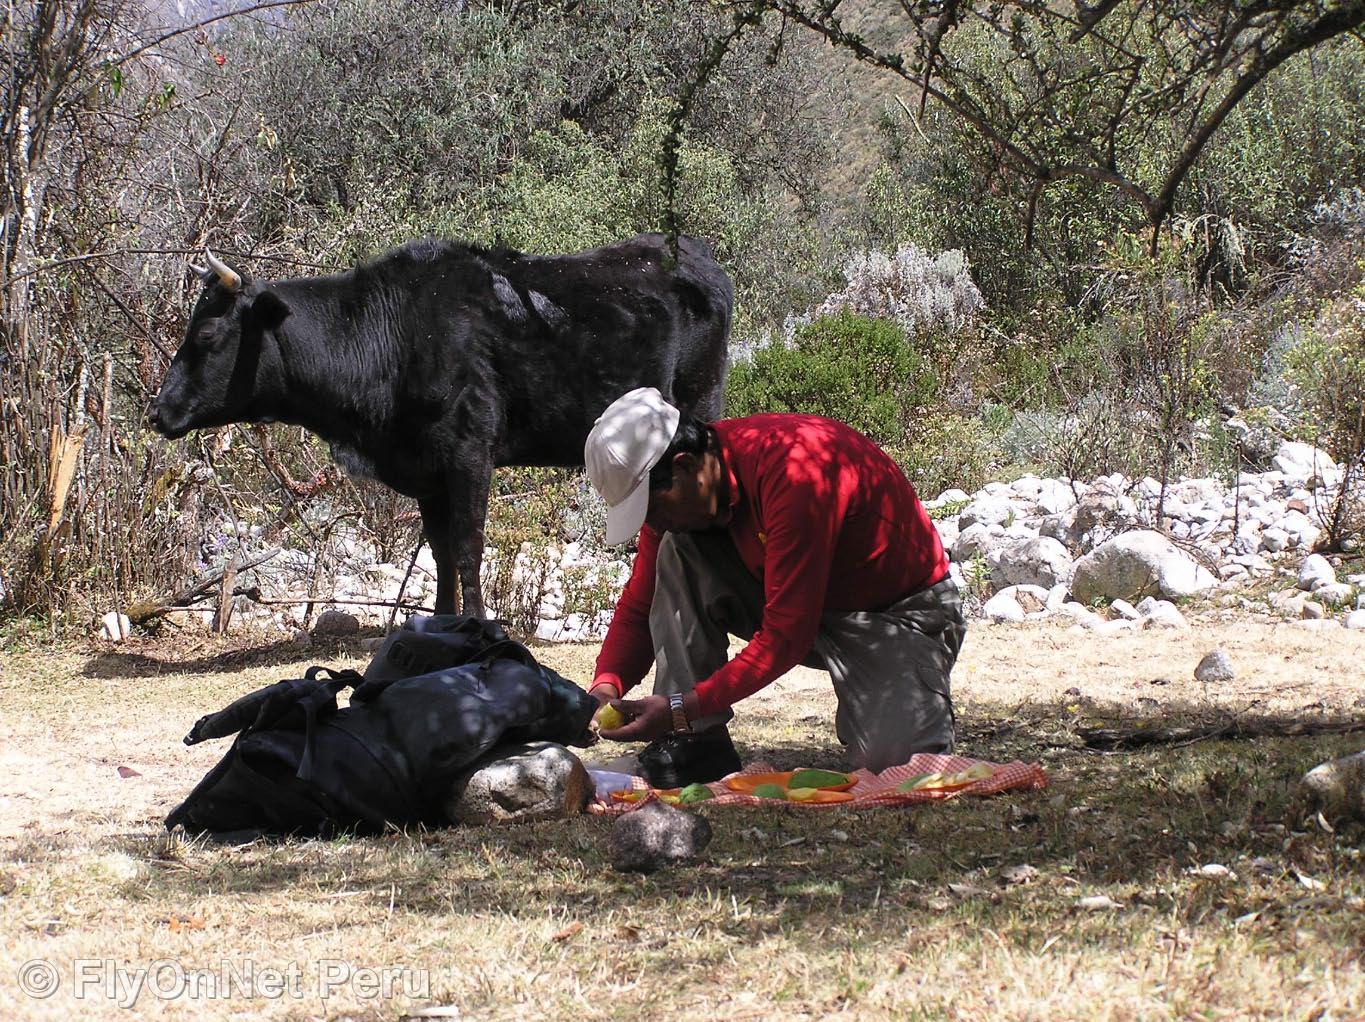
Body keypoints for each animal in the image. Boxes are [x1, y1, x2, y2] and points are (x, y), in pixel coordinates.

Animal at [152, 233, 737, 614]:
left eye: (206, 334)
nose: (156, 412)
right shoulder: (426, 473)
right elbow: (439, 552)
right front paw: (443, 624)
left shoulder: (470, 453)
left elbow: (467, 545)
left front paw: (476, 626)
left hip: (700, 401)